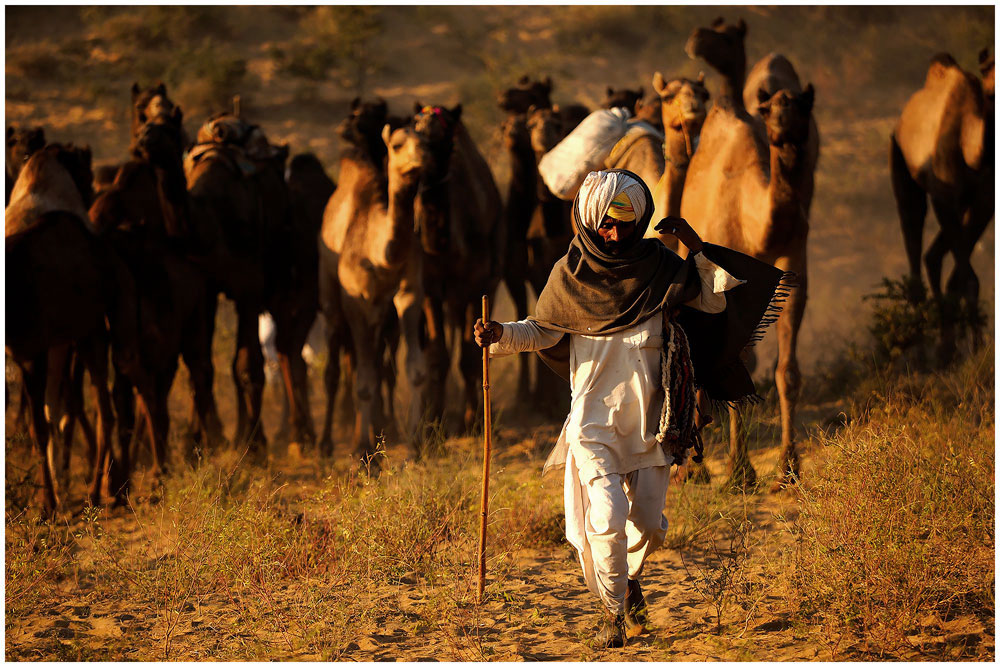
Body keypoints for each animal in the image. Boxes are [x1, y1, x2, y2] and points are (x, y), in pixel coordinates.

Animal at [5, 142, 136, 516]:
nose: (93, 198)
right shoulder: (29, 352)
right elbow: (41, 422)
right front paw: (46, 500)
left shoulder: (35, 349)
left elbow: (42, 424)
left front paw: (48, 503)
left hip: (91, 335)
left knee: (105, 410)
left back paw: (97, 491)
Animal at [412, 102, 504, 430]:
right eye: (414, 129)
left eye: (445, 139)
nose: (422, 167)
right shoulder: (430, 288)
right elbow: (438, 355)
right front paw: (434, 421)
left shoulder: (476, 284)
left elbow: (468, 355)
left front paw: (473, 420)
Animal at [684, 17, 816, 490]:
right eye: (770, 109)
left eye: (802, 108)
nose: (784, 130)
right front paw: (740, 472)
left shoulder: (793, 261)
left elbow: (786, 370)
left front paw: (788, 469)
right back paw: (695, 469)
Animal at [892, 47, 992, 362]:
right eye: (989, 74)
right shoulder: (943, 196)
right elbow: (968, 277)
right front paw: (977, 346)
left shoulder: (983, 202)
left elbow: (964, 276)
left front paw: (970, 343)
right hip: (901, 167)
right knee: (913, 231)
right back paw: (922, 348)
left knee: (933, 256)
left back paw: (946, 342)